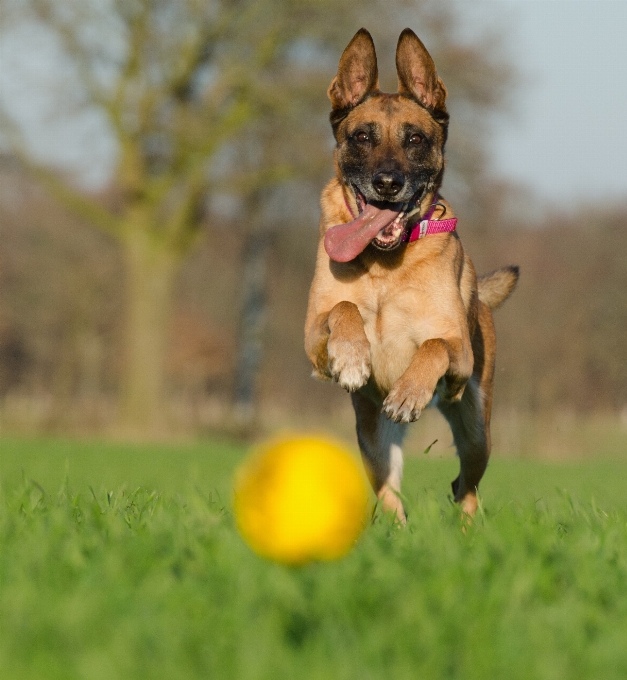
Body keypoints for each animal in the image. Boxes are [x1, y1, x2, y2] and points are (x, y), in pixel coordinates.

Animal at [306, 27, 520, 520]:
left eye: (415, 139)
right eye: (362, 136)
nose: (387, 183)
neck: (386, 267)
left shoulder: (458, 354)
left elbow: (434, 345)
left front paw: (407, 393)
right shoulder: (312, 342)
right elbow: (343, 306)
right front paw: (352, 357)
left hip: (477, 431)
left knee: (466, 486)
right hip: (372, 443)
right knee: (391, 496)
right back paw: (398, 532)